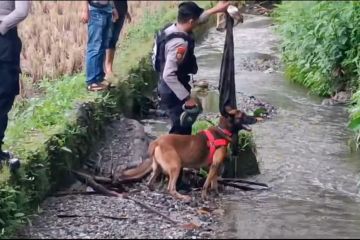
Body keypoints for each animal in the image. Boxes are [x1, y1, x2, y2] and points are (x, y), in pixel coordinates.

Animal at [116, 107, 260, 201]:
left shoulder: (213, 166)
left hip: (157, 168)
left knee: (150, 183)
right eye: (243, 116)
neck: (222, 131)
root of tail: (157, 141)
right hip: (176, 165)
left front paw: (216, 194)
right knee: (171, 188)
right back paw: (182, 196)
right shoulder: (215, 164)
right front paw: (204, 196)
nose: (256, 119)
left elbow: (213, 182)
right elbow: (206, 184)